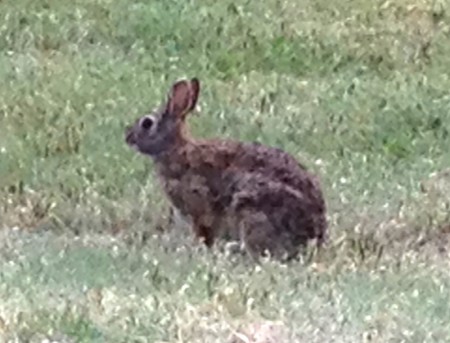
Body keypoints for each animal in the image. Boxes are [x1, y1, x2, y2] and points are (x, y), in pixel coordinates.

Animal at [125, 77, 328, 260]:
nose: (127, 137)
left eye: (147, 123)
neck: (176, 149)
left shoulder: (199, 204)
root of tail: (314, 235)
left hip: (250, 207)